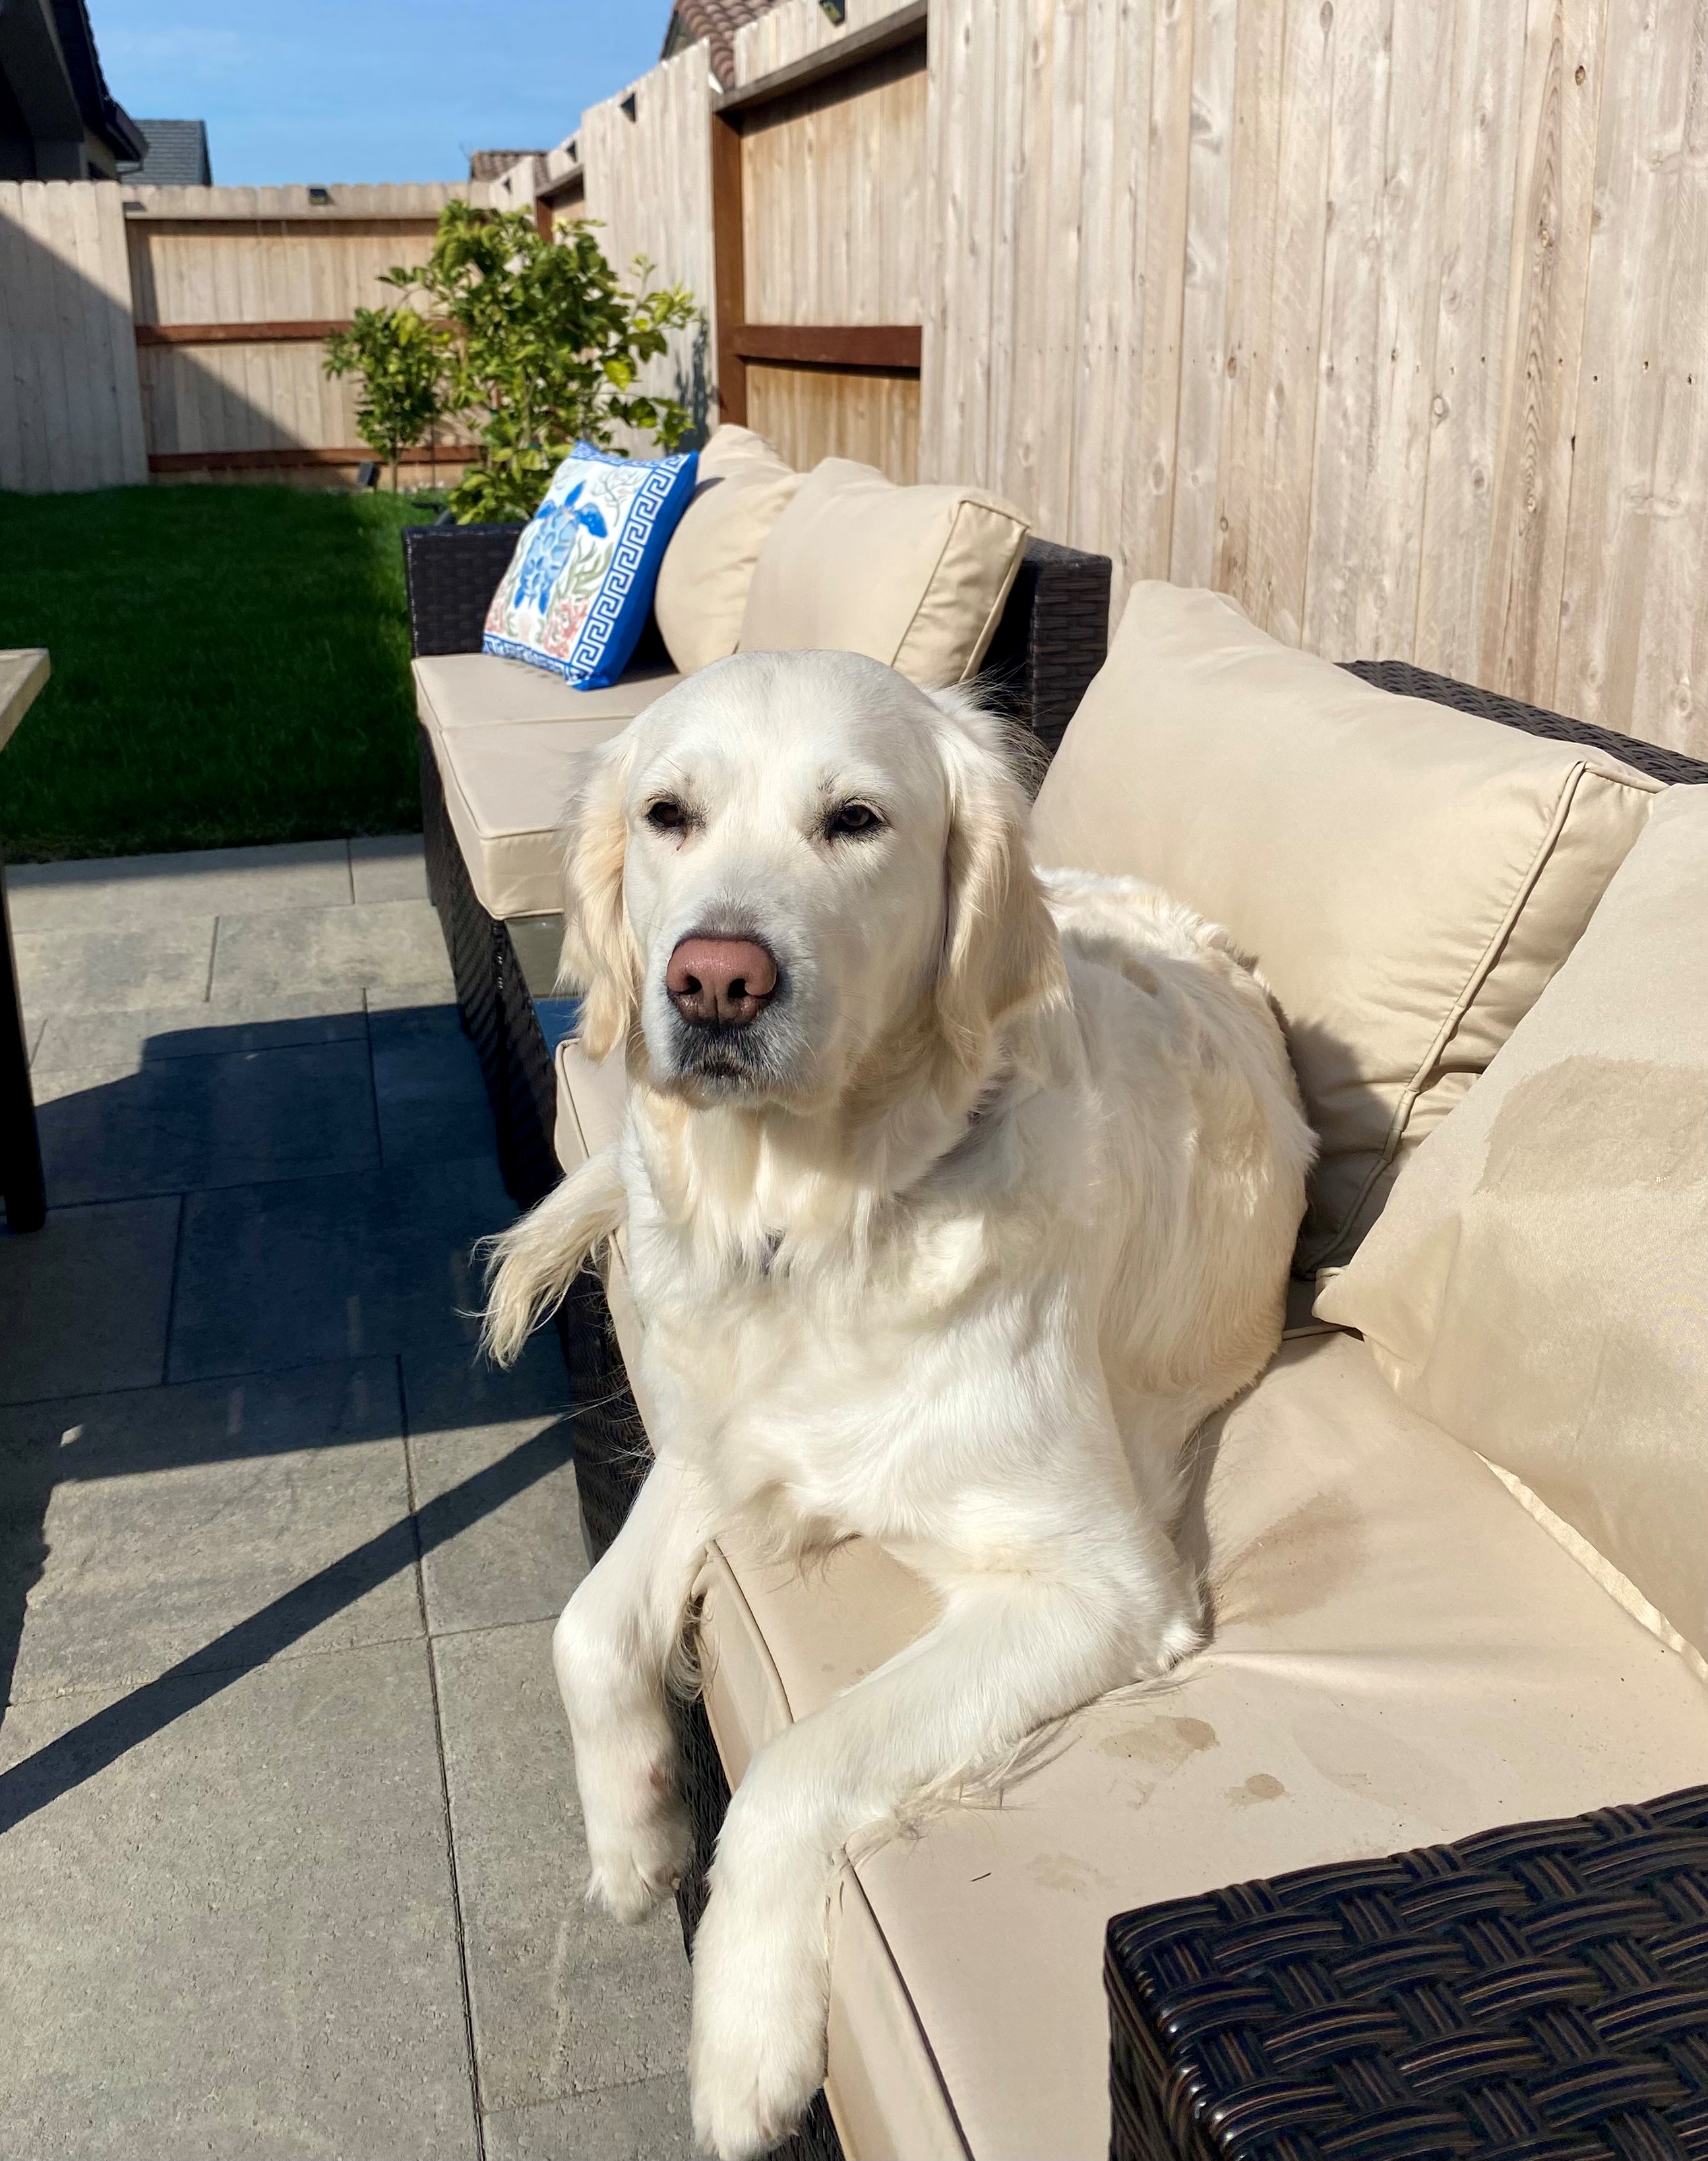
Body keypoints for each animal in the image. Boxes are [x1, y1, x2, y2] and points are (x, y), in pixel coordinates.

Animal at [482, 652, 1314, 2161]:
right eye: (668, 813)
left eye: (855, 821)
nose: (716, 980)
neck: (819, 1219)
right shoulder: (721, 1440)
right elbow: (583, 1632)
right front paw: (634, 1837)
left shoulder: (1099, 1586)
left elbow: (795, 1765)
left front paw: (742, 2046)